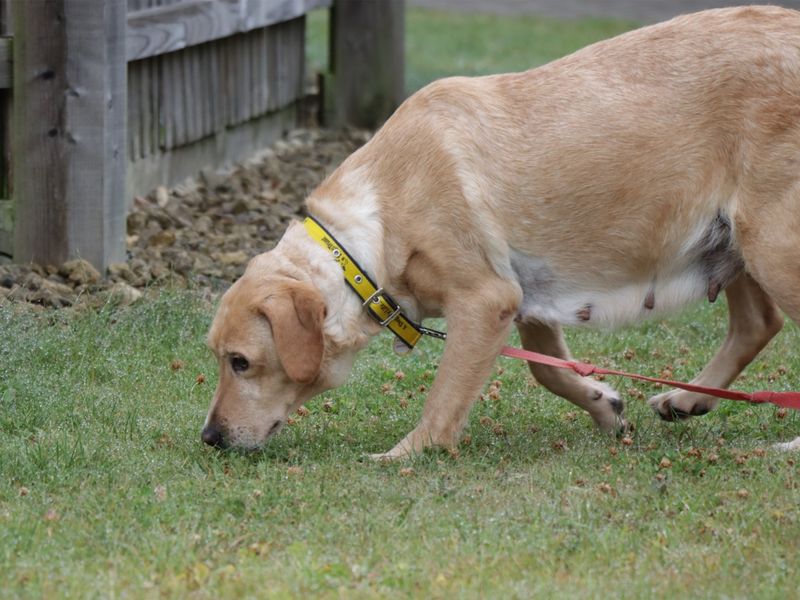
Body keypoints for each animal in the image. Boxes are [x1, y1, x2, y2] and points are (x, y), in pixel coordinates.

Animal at [202, 4, 800, 458]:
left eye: (241, 362)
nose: (209, 437)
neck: (370, 234)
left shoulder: (486, 300)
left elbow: (444, 400)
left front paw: (403, 456)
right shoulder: (529, 302)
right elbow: (548, 372)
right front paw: (605, 406)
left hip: (772, 243)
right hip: (734, 241)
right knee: (758, 323)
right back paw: (686, 399)